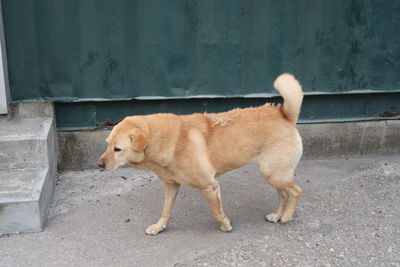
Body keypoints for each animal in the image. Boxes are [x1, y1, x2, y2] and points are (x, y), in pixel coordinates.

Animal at [97, 73, 304, 234]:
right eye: (107, 145)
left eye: (117, 149)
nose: (99, 164)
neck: (168, 141)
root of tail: (285, 115)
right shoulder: (171, 186)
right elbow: (165, 210)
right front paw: (159, 226)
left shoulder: (210, 186)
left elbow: (216, 211)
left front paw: (225, 224)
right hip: (274, 174)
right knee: (284, 194)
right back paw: (277, 215)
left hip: (274, 173)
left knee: (295, 191)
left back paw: (286, 216)